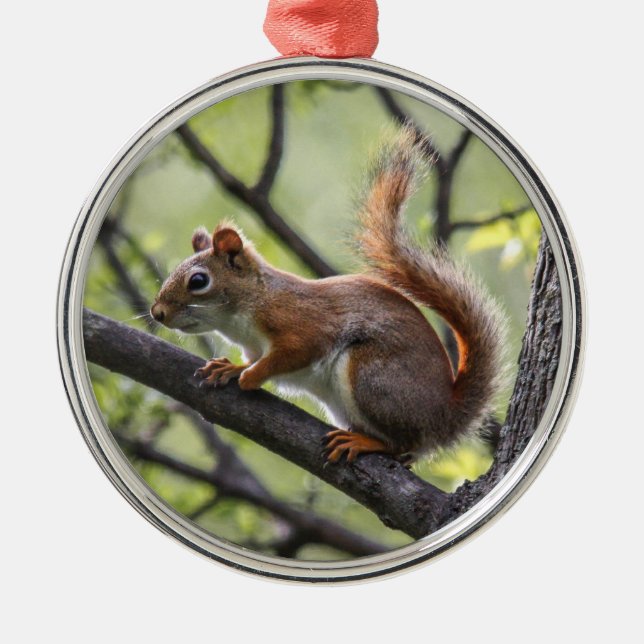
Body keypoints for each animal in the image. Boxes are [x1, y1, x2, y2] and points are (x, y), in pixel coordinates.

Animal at [150, 127, 507, 464]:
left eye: (198, 280)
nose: (157, 313)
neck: (247, 308)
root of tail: (443, 418)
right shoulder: (253, 345)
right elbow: (253, 357)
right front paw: (231, 368)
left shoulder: (299, 323)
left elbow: (293, 352)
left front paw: (251, 376)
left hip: (372, 377)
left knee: (403, 444)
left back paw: (364, 443)